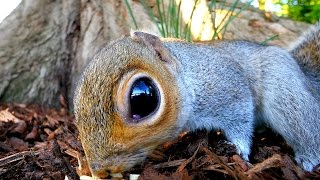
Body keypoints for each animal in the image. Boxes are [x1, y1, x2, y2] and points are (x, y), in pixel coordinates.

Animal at [73, 21, 320, 178]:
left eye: (143, 99)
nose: (99, 170)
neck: (191, 75)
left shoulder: (230, 87)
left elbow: (240, 119)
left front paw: (237, 148)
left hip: (286, 92)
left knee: (306, 127)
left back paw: (309, 158)